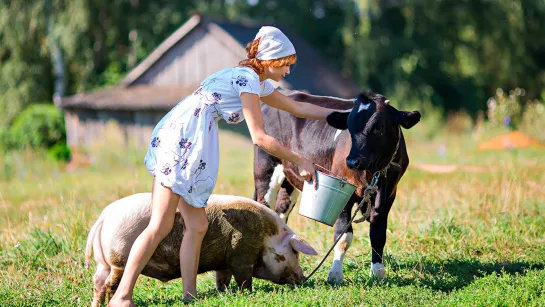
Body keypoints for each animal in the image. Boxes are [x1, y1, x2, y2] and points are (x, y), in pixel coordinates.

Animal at [83, 194, 316, 306]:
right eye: (294, 252)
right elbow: (244, 278)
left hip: (103, 263)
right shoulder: (242, 252)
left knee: (98, 284)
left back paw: (96, 305)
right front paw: (247, 293)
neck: (267, 237)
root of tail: (104, 217)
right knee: (111, 284)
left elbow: (222, 279)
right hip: (119, 259)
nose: (303, 278)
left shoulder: (224, 261)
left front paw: (224, 293)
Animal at [252, 89, 420, 284]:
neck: (373, 174)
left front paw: (378, 273)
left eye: (379, 127)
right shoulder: (343, 195)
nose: (352, 161)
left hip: (289, 179)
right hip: (265, 169)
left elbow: (378, 236)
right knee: (263, 206)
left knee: (281, 211)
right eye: (349, 127)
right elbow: (343, 236)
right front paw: (335, 274)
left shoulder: (389, 196)